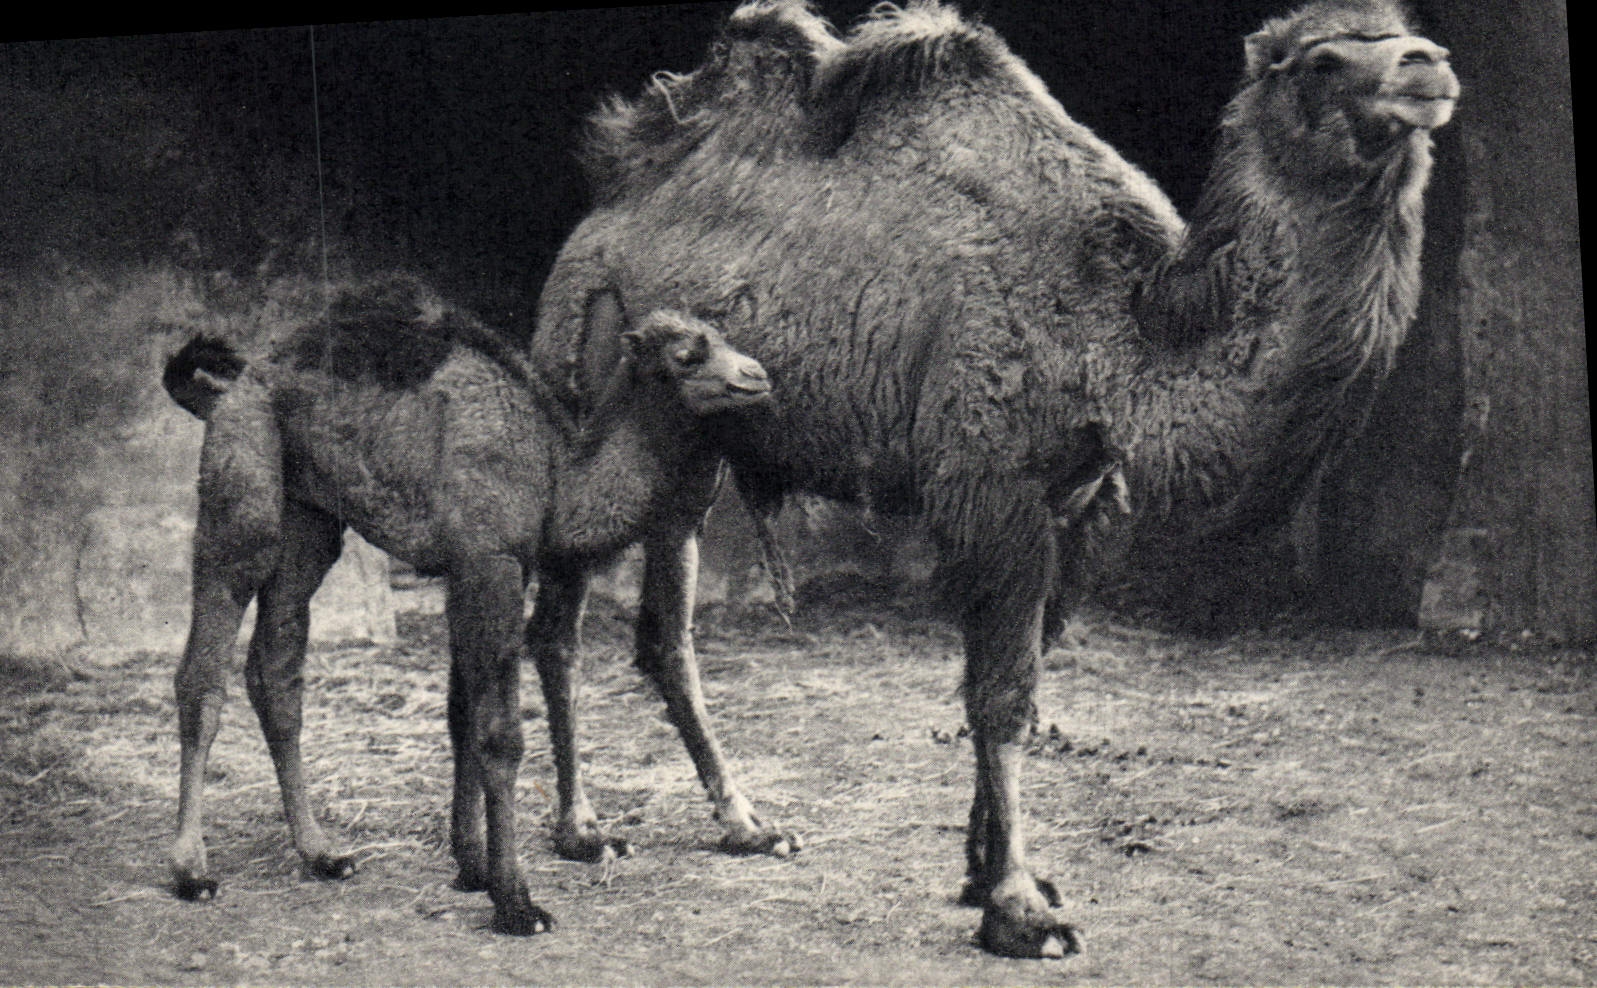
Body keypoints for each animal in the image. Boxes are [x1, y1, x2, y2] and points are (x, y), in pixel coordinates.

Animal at [162, 277, 772, 935]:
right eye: (686, 355)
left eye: (723, 338)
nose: (757, 375)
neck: (553, 472)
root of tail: (234, 386)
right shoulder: (490, 562)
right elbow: (500, 734)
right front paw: (516, 901)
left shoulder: (471, 571)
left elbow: (461, 716)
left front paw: (472, 865)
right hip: (242, 483)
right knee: (204, 667)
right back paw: (191, 871)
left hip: (310, 520)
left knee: (276, 670)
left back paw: (322, 854)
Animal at [530, 0, 1456, 957]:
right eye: (1320, 61)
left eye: (1402, 32)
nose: (1429, 66)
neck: (1114, 334)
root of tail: (599, 218)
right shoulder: (991, 486)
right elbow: (1003, 696)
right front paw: (1019, 909)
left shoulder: (1081, 503)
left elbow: (1024, 677)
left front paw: (986, 872)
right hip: (581, 375)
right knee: (557, 622)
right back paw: (583, 831)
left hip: (691, 444)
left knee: (665, 632)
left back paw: (748, 825)